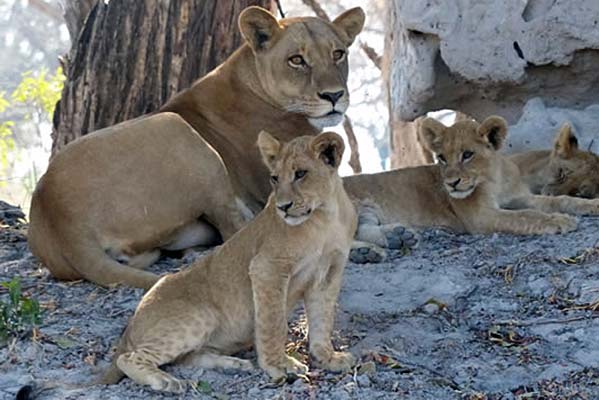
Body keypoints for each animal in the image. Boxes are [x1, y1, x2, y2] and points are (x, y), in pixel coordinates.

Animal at [28, 5, 366, 288]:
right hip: (180, 133)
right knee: (239, 229)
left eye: (338, 54)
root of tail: (58, 214)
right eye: (297, 60)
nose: (334, 96)